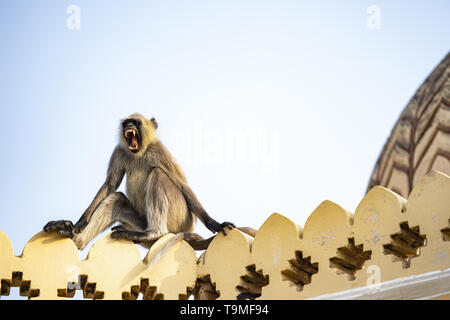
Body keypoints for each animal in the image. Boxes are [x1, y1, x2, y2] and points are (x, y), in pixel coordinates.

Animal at [43, 114, 251, 251]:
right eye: (126, 123)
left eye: (135, 122)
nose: (129, 125)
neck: (139, 152)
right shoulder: (119, 151)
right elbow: (110, 185)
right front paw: (77, 224)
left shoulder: (159, 150)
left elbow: (182, 184)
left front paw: (215, 223)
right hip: (140, 222)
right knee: (116, 198)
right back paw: (73, 238)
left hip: (179, 218)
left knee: (158, 173)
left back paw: (154, 233)